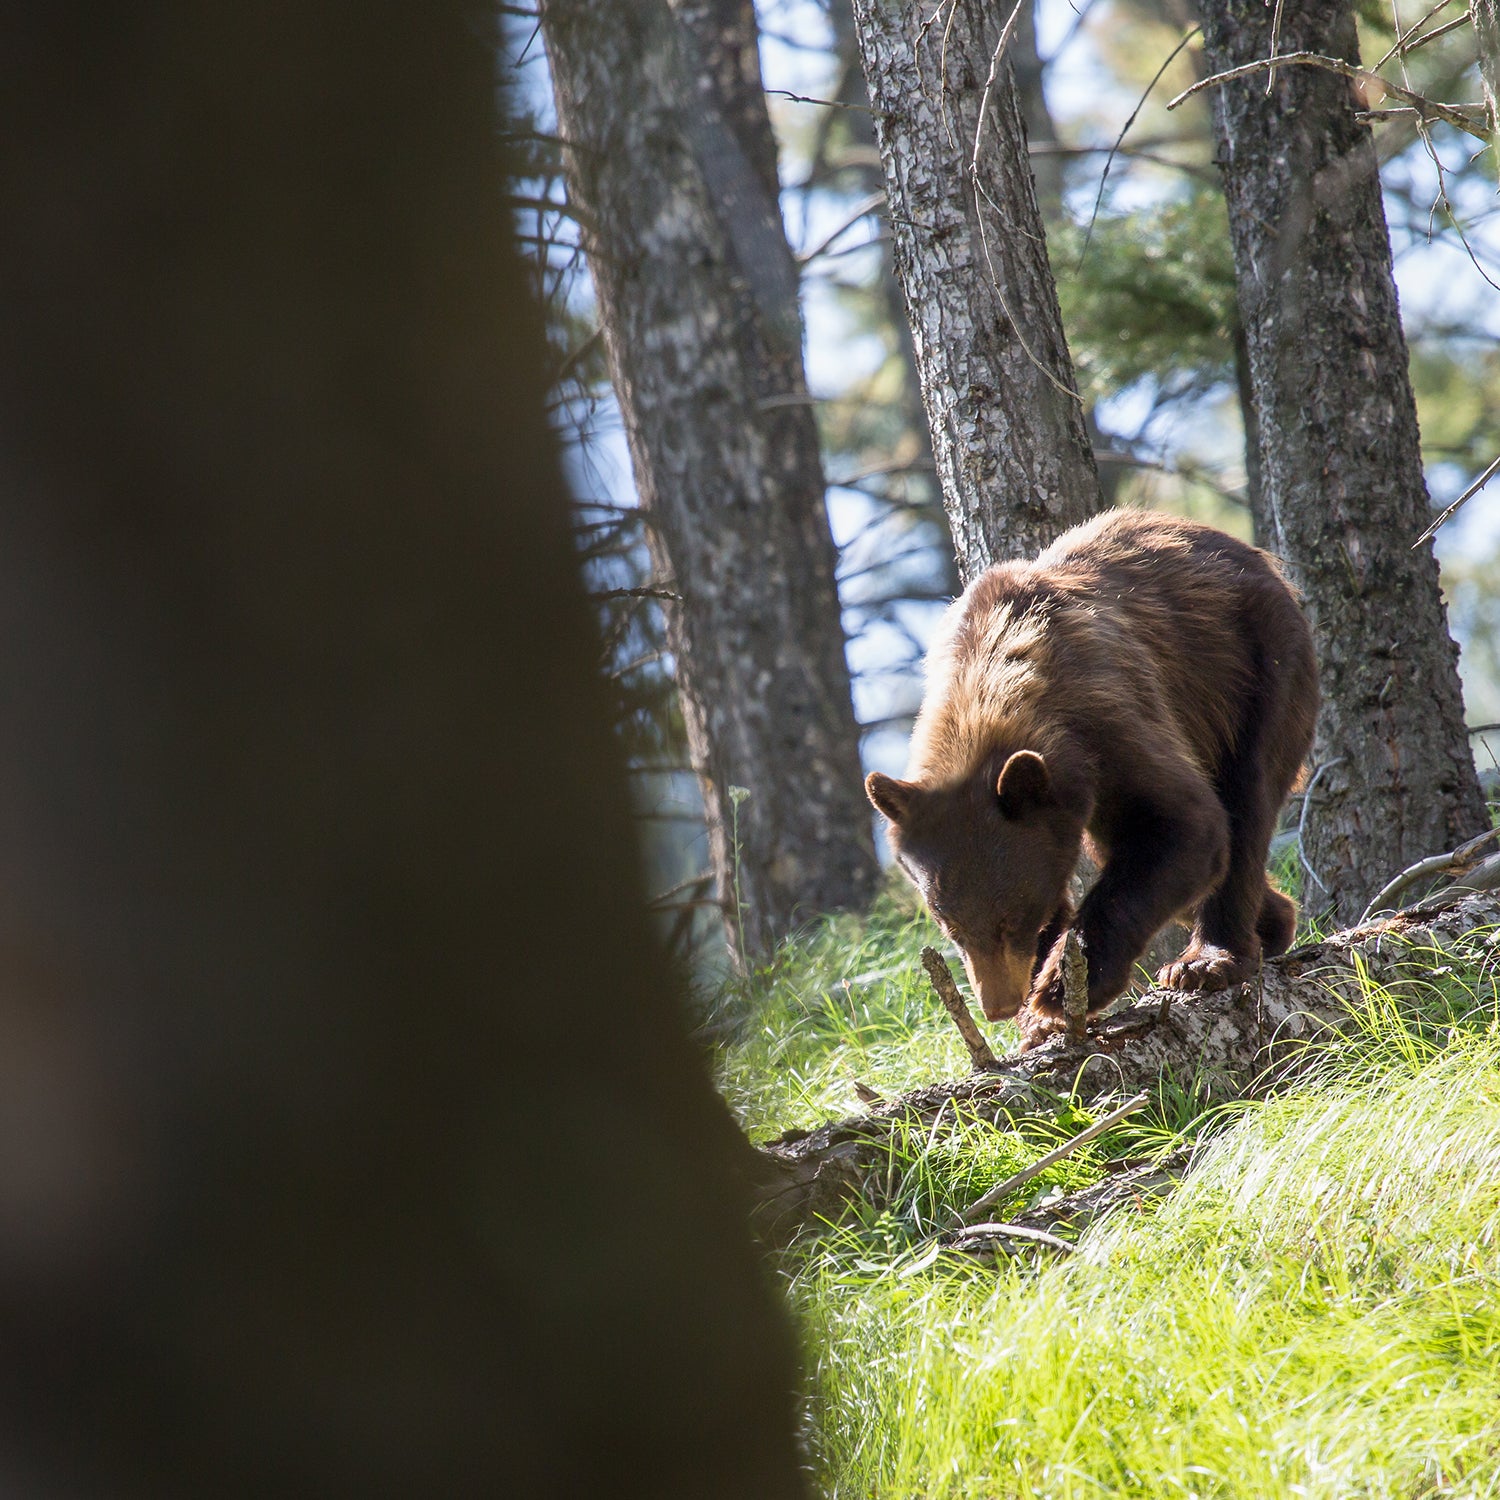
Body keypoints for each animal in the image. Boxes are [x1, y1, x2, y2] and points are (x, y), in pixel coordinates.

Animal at [870, 510, 1314, 1050]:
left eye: (1011, 919)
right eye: (949, 925)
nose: (999, 1007)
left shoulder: (1108, 718)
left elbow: (1187, 824)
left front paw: (1060, 990)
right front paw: (1038, 1020)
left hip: (1255, 668)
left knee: (1245, 804)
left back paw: (1209, 960)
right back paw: (1272, 922)